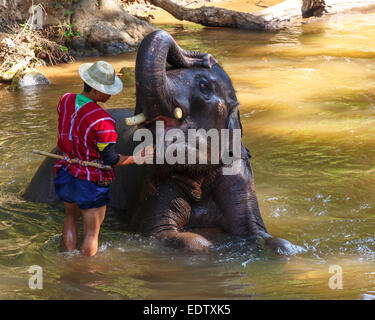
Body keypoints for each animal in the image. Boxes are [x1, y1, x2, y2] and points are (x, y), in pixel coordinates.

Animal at [23, 30, 304, 255]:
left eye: (204, 85)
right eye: (170, 71)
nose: (208, 58)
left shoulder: (240, 178)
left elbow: (259, 232)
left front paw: (289, 250)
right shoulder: (152, 187)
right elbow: (174, 236)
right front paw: (210, 246)